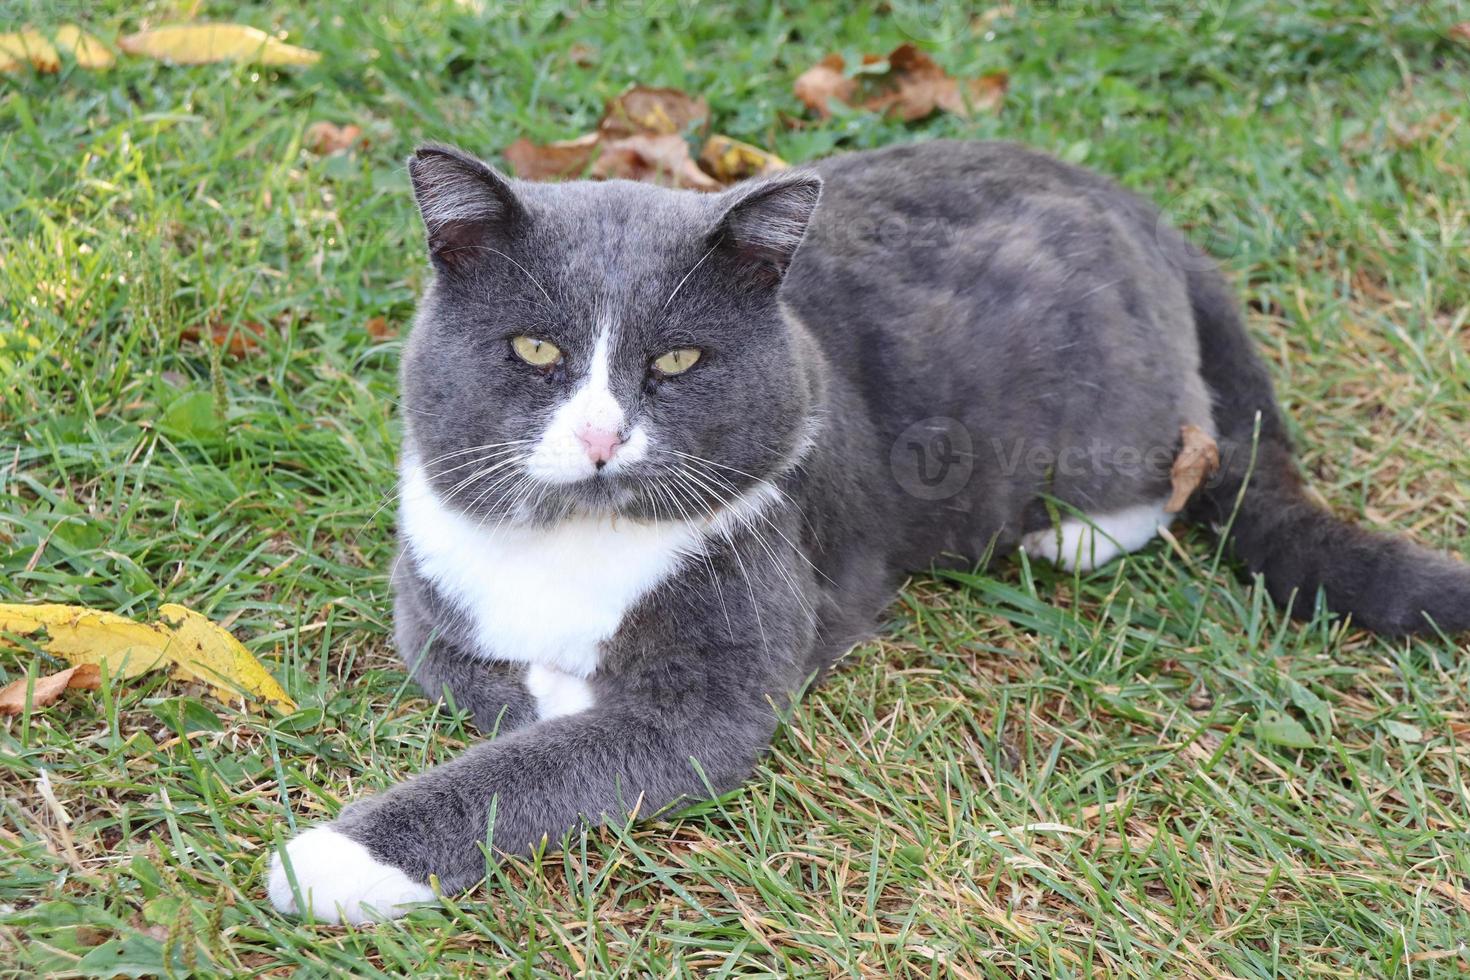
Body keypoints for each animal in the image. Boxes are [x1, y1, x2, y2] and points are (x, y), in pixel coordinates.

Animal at [267, 141, 1470, 922]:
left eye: (678, 361)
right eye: (532, 351)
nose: (603, 437)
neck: (578, 538)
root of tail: (1136, 206)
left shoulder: (725, 679)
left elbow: (558, 756)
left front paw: (331, 860)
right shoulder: (433, 600)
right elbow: (496, 686)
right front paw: (552, 693)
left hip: (1104, 417)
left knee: (1194, 462)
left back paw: (1069, 537)